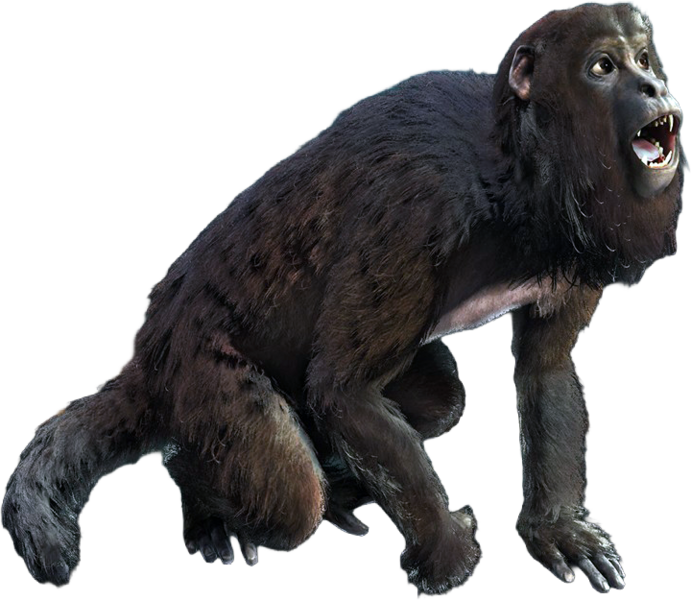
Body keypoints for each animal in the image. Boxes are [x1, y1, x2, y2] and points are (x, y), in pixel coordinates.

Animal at [1, 1, 685, 597]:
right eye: (603, 67)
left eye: (645, 58)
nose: (655, 89)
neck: (516, 168)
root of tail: (147, 355)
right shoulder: (418, 204)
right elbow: (344, 387)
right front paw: (447, 555)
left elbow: (545, 370)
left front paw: (555, 530)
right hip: (196, 376)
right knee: (289, 495)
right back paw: (209, 511)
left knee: (438, 403)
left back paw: (336, 491)